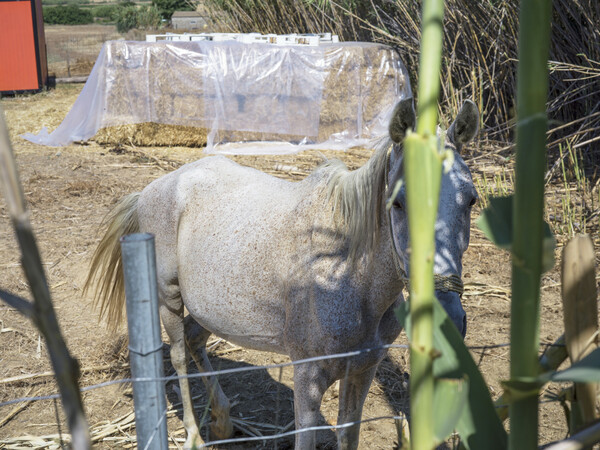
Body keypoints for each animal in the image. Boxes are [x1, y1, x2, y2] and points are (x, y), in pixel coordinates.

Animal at [84, 98, 478, 450]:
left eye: (471, 199)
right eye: (398, 203)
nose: (447, 317)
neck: (346, 276)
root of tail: (154, 188)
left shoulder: (363, 370)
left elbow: (348, 435)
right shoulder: (308, 379)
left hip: (208, 308)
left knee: (195, 342)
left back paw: (223, 420)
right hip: (168, 297)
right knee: (180, 354)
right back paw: (195, 434)